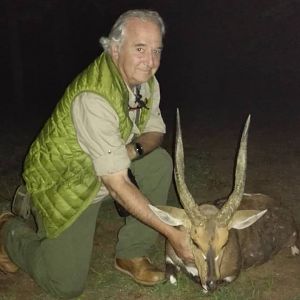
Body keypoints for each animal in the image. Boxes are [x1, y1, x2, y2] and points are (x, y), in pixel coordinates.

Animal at [149, 109, 298, 290]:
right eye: (195, 242)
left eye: (225, 243)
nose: (211, 283)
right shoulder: (169, 257)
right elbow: (171, 276)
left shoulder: (232, 274)